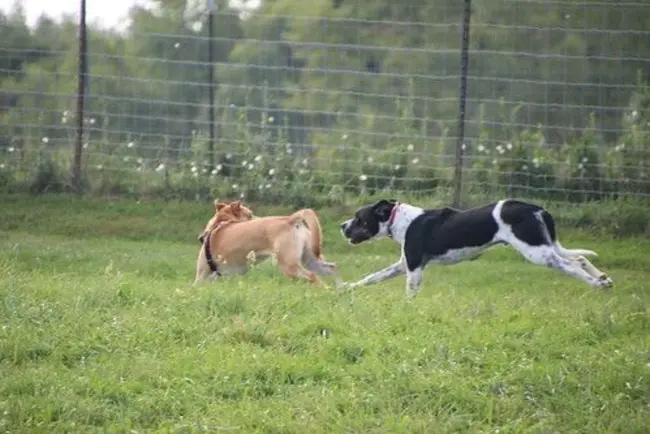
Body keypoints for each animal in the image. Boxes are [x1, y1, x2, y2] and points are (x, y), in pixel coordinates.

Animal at [194, 202, 340, 286]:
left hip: (289, 265)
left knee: (312, 276)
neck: (220, 224)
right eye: (250, 215)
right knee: (331, 268)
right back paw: (339, 290)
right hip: (310, 259)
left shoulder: (201, 276)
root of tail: (290, 219)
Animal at [340, 199, 612, 298]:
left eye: (359, 218)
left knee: (572, 264)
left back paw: (596, 284)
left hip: (536, 252)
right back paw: (604, 280)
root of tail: (537, 209)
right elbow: (372, 277)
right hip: (543, 247)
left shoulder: (414, 267)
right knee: (580, 258)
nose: (341, 226)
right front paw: (346, 288)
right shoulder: (404, 264)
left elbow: (410, 292)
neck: (399, 219)